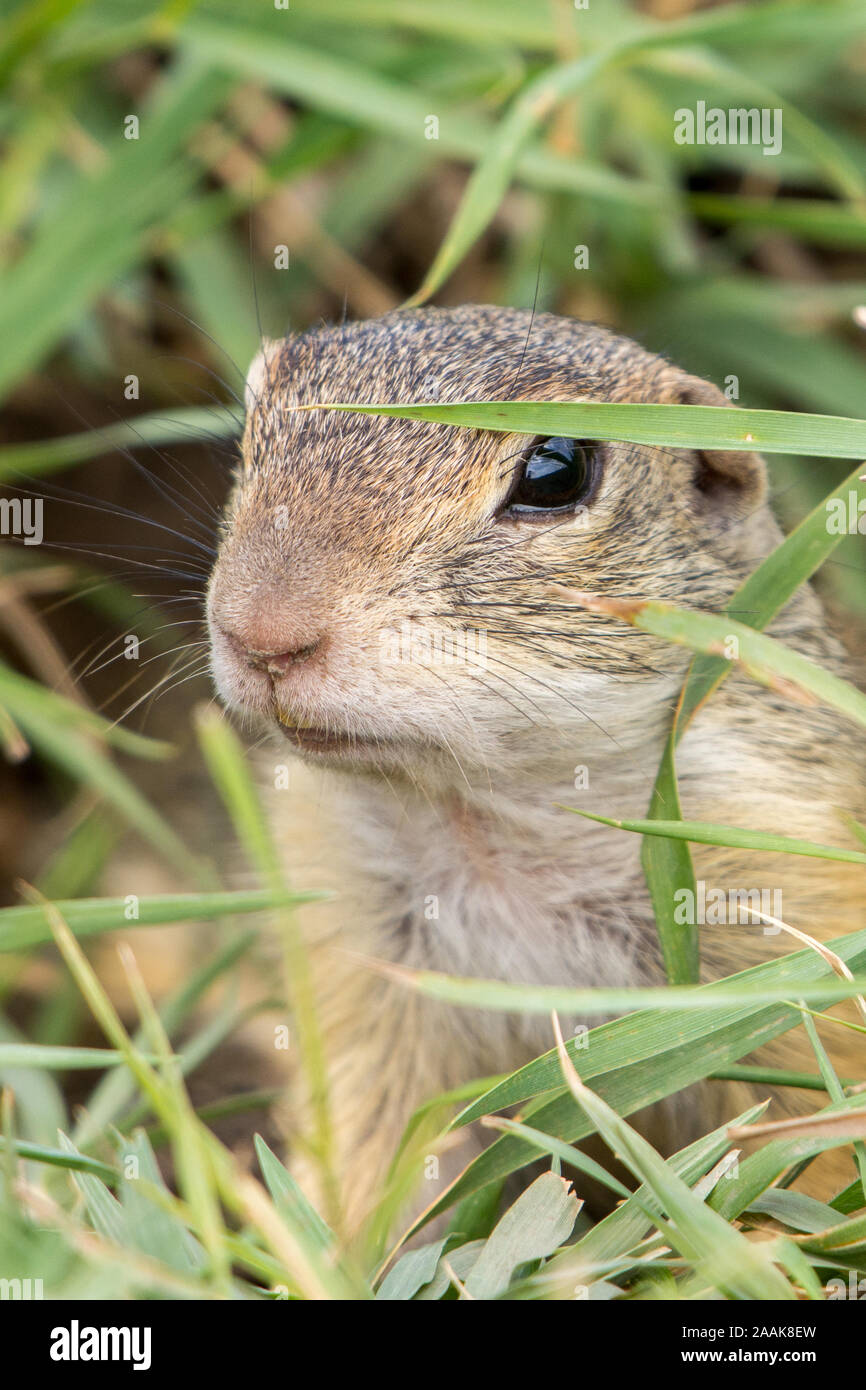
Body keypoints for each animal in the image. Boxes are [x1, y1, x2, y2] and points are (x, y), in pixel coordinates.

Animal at [207, 307, 861, 1239]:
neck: (485, 821)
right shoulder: (365, 967)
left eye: (557, 471)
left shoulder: (792, 906)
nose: (261, 635)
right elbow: (379, 1153)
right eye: (251, 430)